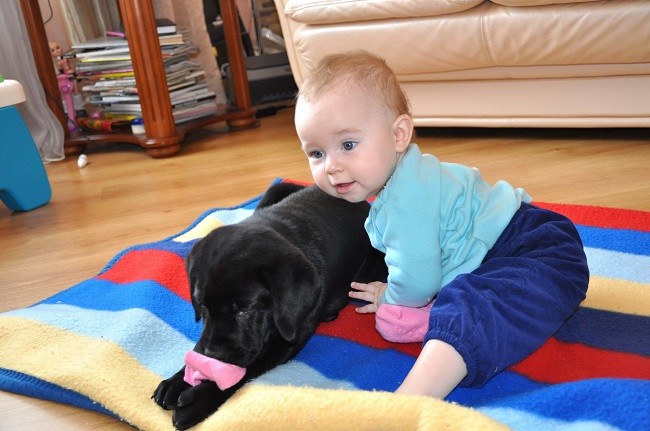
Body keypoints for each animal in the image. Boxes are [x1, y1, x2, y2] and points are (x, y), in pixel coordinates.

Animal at [152, 184, 384, 430]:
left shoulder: (283, 344)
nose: (214, 355)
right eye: (202, 306)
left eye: (245, 309)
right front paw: (176, 381)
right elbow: (199, 345)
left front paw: (198, 400)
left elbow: (246, 369)